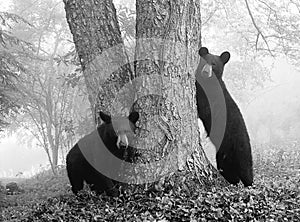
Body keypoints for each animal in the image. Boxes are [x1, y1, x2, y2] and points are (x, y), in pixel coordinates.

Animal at [195, 47, 253, 187]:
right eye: (204, 61)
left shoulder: (211, 97)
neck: (209, 82)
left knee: (246, 170)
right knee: (229, 171)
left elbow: (203, 107)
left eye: (214, 64)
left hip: (241, 150)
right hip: (223, 156)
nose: (206, 72)